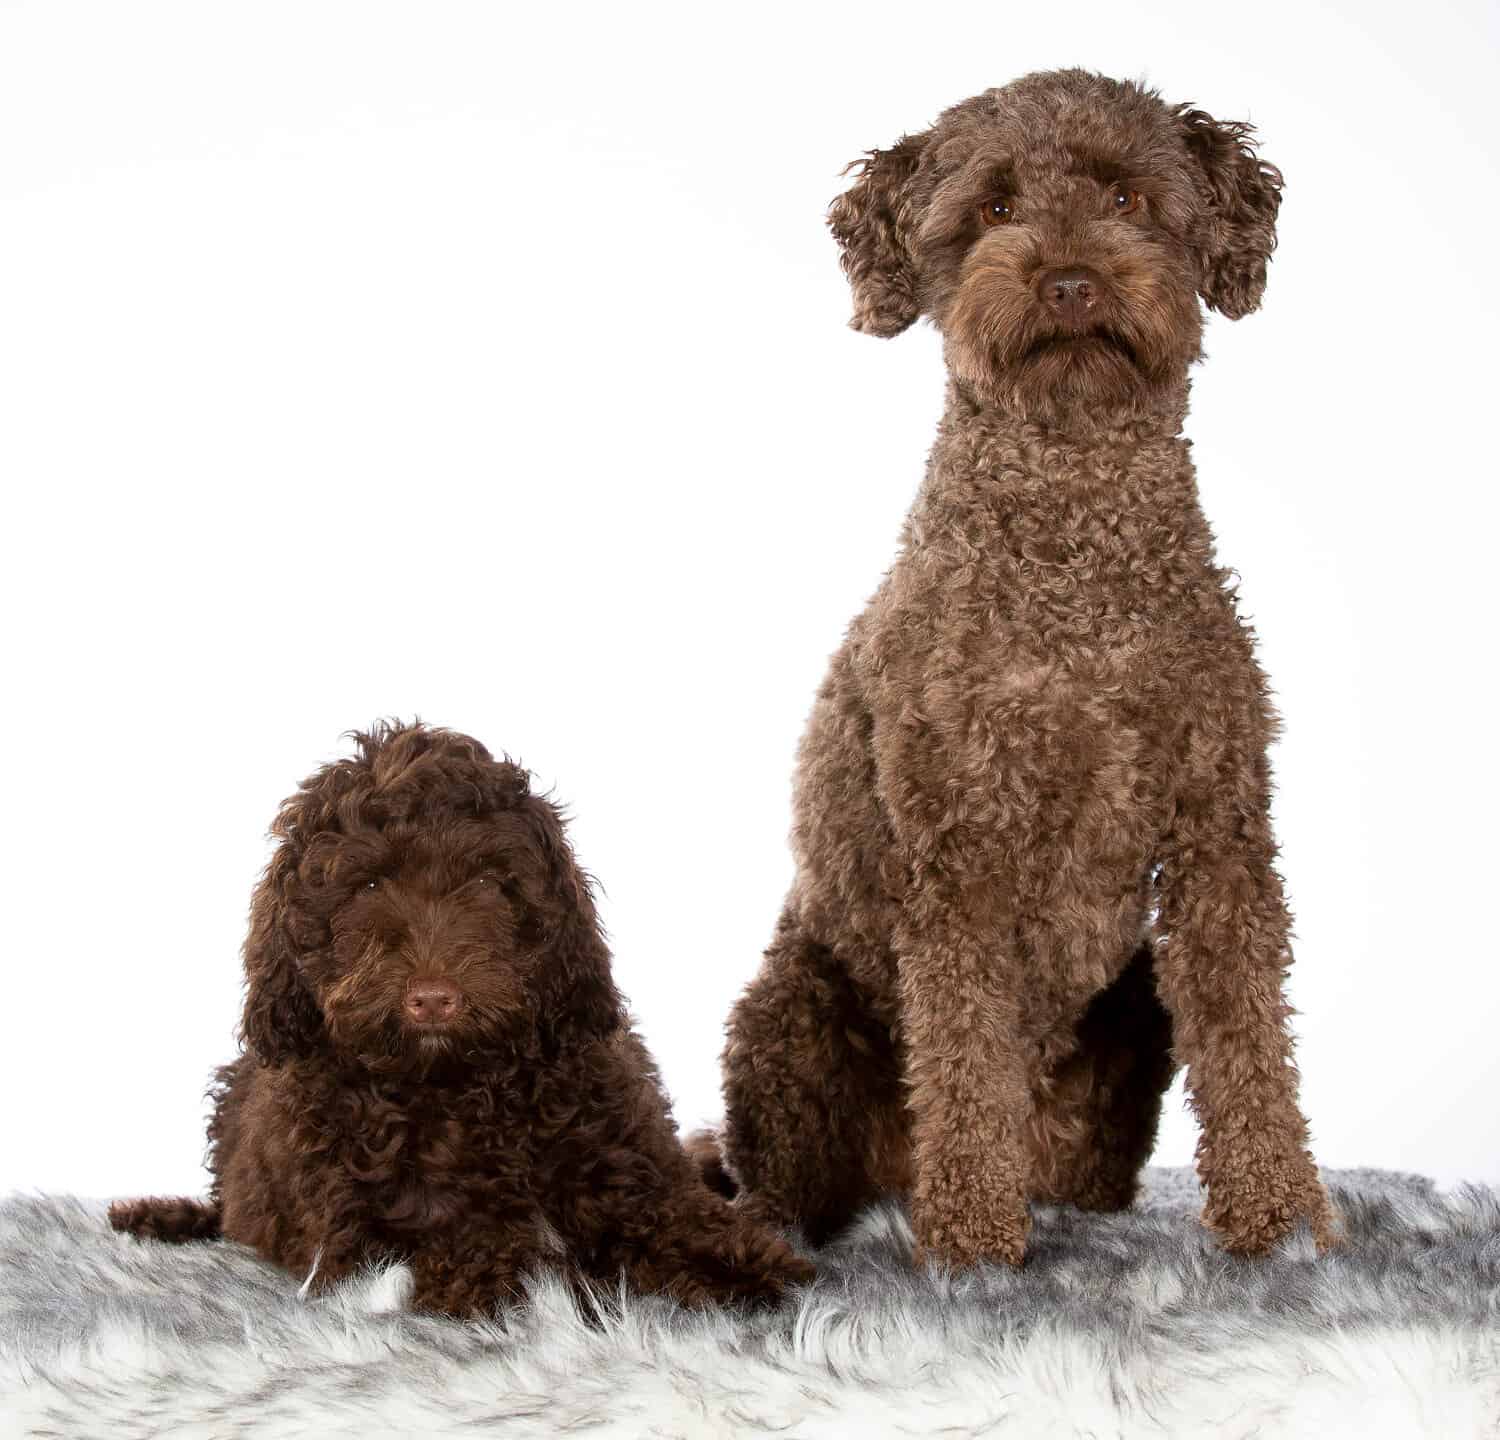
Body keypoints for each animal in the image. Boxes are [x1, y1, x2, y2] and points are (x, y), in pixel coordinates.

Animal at [714, 67, 1338, 1266]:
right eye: (994, 207)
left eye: (1128, 198)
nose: (1068, 279)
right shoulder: (958, 855)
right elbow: (963, 1055)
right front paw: (971, 1242)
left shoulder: (1220, 835)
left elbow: (1249, 1039)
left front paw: (1283, 1222)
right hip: (794, 1012)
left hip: (1131, 1016)